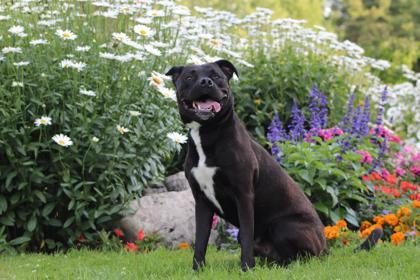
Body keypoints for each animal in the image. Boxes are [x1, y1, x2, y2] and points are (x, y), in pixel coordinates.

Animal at [167, 59, 378, 272]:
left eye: (216, 76)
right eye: (189, 77)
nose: (205, 82)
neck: (208, 133)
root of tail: (326, 246)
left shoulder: (243, 195)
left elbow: (246, 236)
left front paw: (246, 269)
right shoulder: (202, 201)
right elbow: (200, 241)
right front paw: (197, 270)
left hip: (283, 225)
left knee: (305, 257)